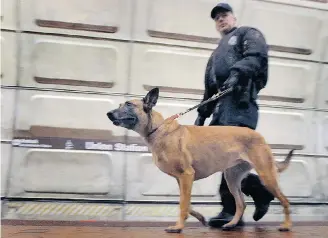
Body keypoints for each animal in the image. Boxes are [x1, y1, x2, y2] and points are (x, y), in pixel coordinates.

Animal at [107, 87, 294, 232]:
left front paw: (178, 227)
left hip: (266, 174)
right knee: (241, 203)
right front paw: (200, 218)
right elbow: (186, 203)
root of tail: (259, 136)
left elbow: (183, 204)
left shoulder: (187, 175)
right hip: (232, 178)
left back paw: (286, 225)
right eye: (120, 105)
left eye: (129, 105)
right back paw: (231, 224)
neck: (158, 129)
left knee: (285, 200)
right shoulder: (182, 179)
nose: (108, 113)